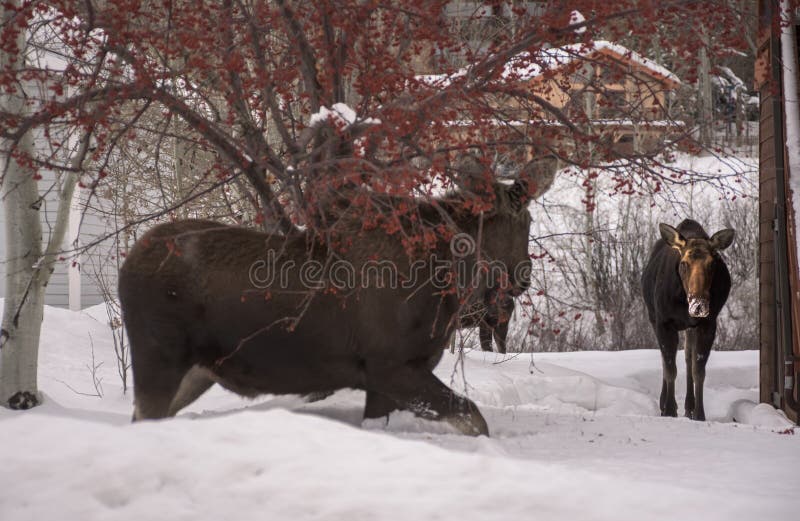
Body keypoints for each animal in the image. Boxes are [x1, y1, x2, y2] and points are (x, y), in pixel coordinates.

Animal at [119, 174, 536, 434]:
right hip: (159, 359)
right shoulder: (390, 367)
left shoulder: (384, 381)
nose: (524, 277)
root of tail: (127, 263)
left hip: (196, 371)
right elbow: (476, 420)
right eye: (527, 221)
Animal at [640, 218, 736, 418]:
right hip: (654, 318)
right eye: (684, 263)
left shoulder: (708, 324)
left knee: (687, 359)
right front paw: (669, 410)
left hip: (690, 328)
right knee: (666, 360)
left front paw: (699, 414)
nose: (698, 305)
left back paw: (689, 406)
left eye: (712, 264)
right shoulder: (664, 322)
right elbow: (670, 369)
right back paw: (664, 403)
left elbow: (698, 370)